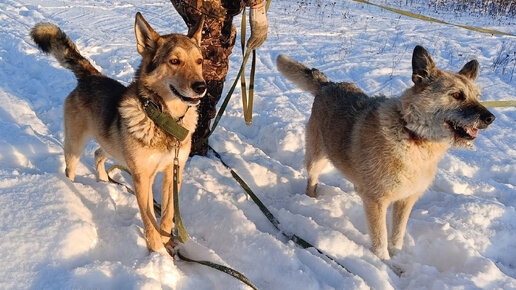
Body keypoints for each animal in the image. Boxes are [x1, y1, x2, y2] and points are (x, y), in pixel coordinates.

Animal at [31, 13, 206, 253]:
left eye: (200, 61)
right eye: (174, 61)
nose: (201, 86)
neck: (164, 120)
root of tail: (90, 76)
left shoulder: (172, 172)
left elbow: (168, 214)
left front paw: (166, 241)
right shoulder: (142, 177)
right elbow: (149, 220)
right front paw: (156, 252)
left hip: (112, 144)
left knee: (97, 154)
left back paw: (105, 181)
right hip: (76, 145)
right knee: (70, 169)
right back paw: (71, 188)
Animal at [276, 46, 494, 260]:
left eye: (477, 97)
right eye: (456, 95)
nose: (491, 118)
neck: (412, 136)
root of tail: (327, 84)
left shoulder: (406, 200)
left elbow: (397, 236)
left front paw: (397, 259)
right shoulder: (377, 202)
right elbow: (380, 241)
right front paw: (384, 265)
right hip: (317, 158)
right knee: (311, 179)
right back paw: (310, 199)